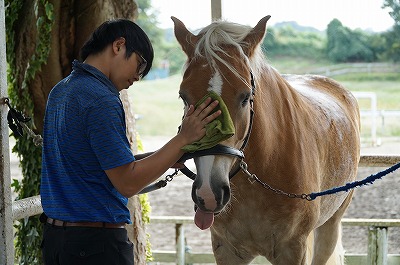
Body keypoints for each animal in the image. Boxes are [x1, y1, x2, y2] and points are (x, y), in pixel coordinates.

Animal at [170, 15, 360, 262]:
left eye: (245, 97)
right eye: (183, 96)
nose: (209, 194)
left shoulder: (293, 250)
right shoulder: (226, 250)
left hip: (330, 226)